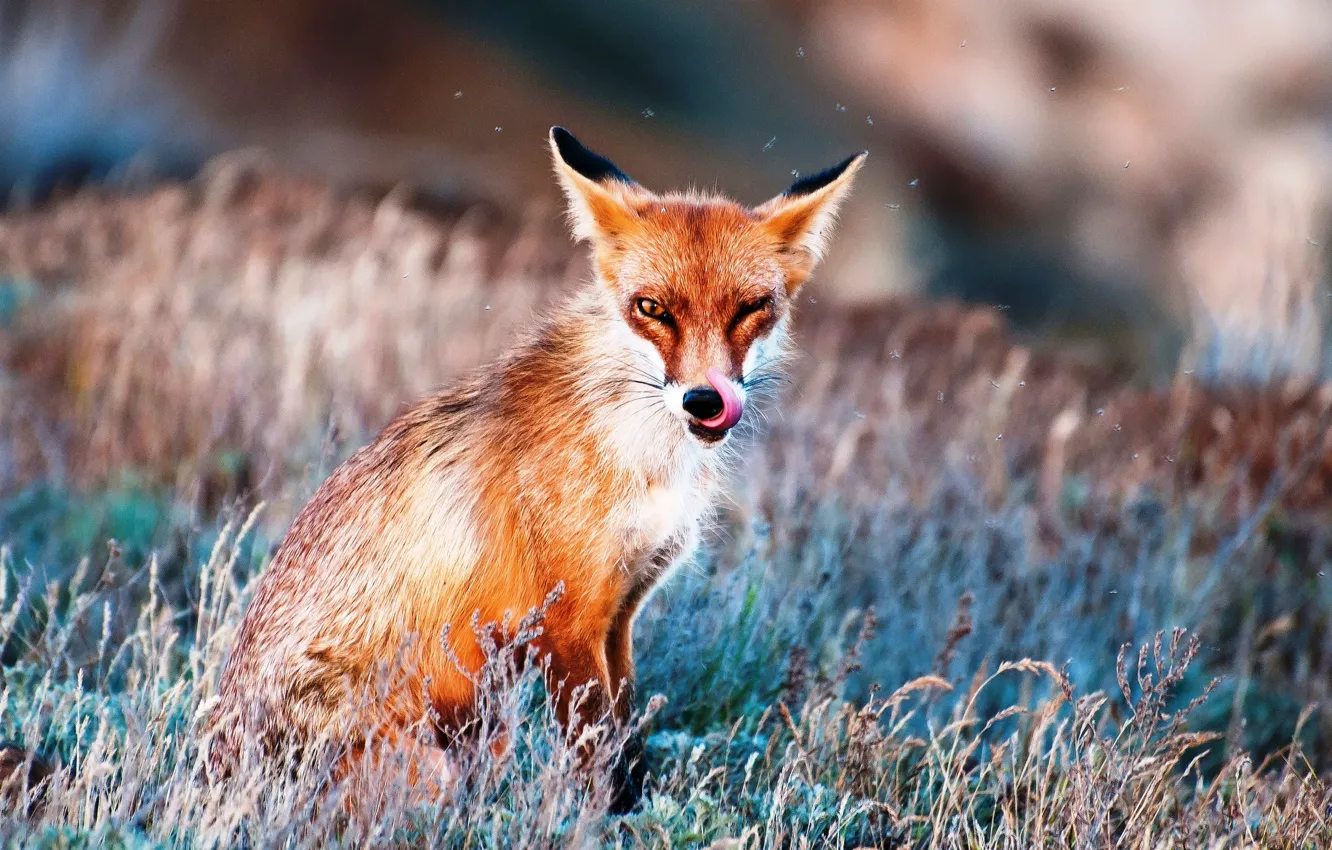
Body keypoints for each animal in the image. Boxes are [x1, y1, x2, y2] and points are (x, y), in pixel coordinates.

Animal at [206, 127, 865, 810]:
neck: (642, 455)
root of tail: (214, 768)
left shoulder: (620, 613)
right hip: (435, 761)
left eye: (751, 308)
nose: (705, 400)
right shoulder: (565, 618)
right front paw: (601, 820)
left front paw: (633, 809)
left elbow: (628, 738)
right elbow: (595, 750)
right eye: (651, 308)